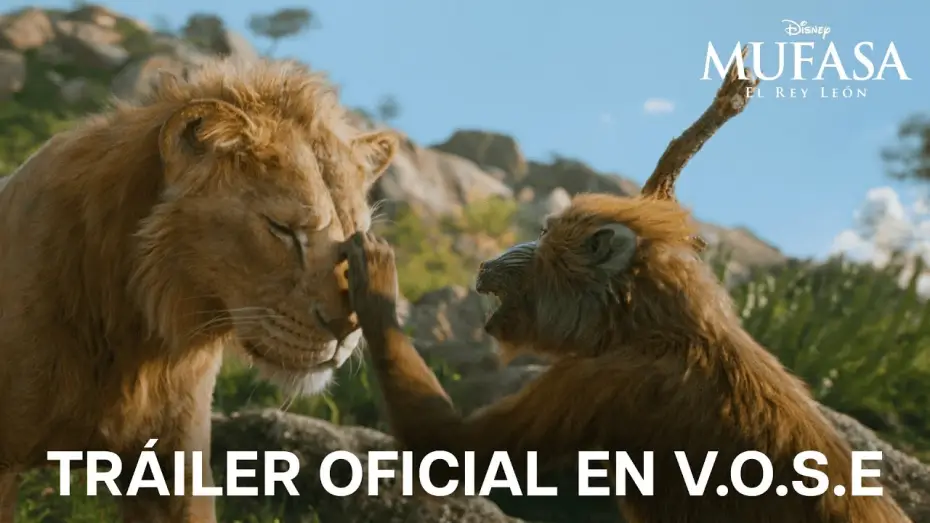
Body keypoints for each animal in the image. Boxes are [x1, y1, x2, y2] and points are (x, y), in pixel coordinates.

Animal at [340, 194, 913, 522]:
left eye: (544, 234)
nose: (491, 259)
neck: (660, 326)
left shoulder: (599, 377)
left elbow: (451, 454)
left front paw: (378, 289)